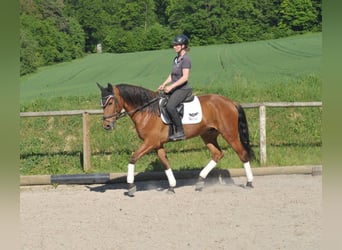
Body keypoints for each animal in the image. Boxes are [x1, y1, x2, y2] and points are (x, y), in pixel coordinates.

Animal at [96, 83, 254, 196]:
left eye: (110, 103)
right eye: (102, 104)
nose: (107, 125)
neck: (146, 111)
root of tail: (231, 102)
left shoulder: (150, 142)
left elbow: (133, 158)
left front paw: (130, 187)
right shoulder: (157, 144)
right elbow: (165, 163)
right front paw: (171, 187)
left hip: (229, 134)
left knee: (242, 154)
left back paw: (249, 183)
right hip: (208, 135)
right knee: (217, 154)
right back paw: (199, 182)